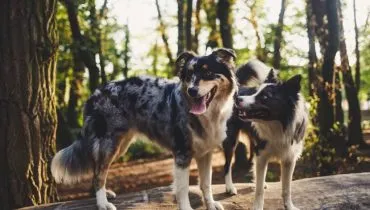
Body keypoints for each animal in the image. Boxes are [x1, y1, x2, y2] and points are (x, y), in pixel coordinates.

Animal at [51, 48, 237, 210]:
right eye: (190, 75)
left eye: (207, 73)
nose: (192, 90)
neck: (207, 114)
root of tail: (95, 93)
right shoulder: (182, 153)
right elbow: (183, 188)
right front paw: (186, 207)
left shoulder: (206, 153)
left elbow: (206, 183)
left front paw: (211, 204)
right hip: (108, 144)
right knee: (99, 174)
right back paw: (102, 203)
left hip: (120, 146)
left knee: (96, 169)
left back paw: (103, 194)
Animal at [224, 59, 308, 210]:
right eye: (255, 92)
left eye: (265, 97)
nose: (237, 99)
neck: (278, 125)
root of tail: (239, 88)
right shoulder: (261, 154)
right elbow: (258, 190)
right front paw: (257, 206)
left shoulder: (289, 158)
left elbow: (287, 188)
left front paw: (289, 206)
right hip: (231, 140)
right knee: (227, 165)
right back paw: (230, 187)